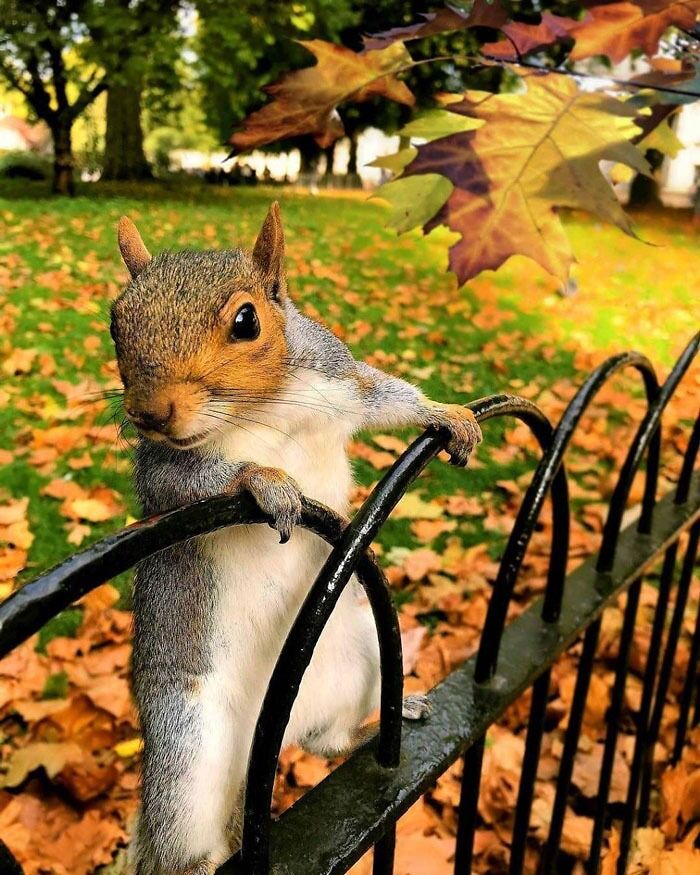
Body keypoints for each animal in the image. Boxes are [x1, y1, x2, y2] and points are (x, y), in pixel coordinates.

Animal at [112, 202, 482, 875]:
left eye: (247, 320)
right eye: (115, 324)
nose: (149, 413)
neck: (262, 407)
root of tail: (262, 749)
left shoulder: (340, 379)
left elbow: (383, 395)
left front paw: (446, 413)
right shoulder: (160, 467)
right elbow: (188, 482)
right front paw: (263, 481)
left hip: (361, 656)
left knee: (327, 742)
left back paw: (385, 721)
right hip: (186, 748)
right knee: (185, 840)